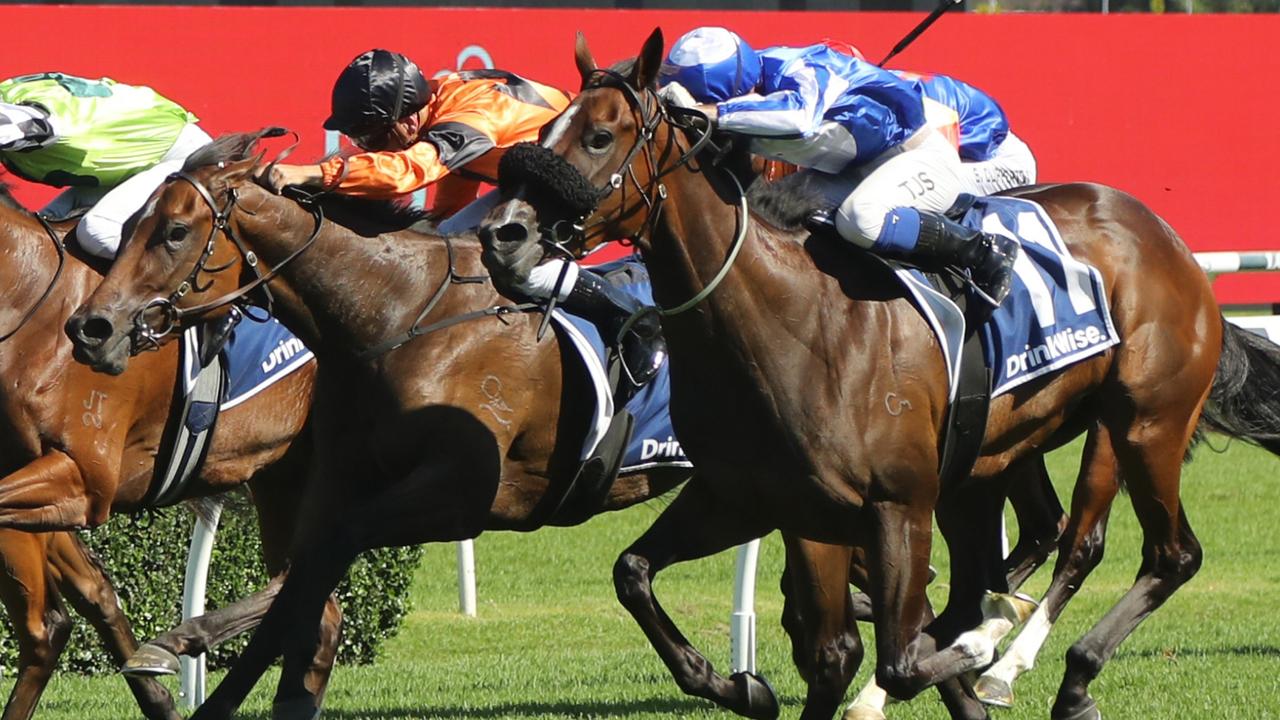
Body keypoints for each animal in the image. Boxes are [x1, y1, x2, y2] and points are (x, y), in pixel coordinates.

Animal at [0, 181, 335, 712]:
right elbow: (92, 591)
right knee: (318, 609)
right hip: (280, 476)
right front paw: (158, 699)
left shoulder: (82, 478)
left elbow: (45, 628)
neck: (27, 305)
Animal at [62, 131, 701, 712]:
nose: (91, 328)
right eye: (129, 226)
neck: (399, 316)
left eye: (175, 232)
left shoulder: (463, 495)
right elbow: (299, 587)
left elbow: (315, 572)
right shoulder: (335, 480)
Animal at [473, 30, 1280, 717]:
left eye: (599, 135)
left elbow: (895, 654)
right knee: (1041, 546)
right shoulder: (769, 501)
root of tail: (1160, 233)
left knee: (1156, 552)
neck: (788, 320)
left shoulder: (897, 503)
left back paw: (1031, 664)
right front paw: (741, 684)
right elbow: (653, 580)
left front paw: (970, 648)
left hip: (1143, 420)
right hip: (995, 461)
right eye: (542, 134)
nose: (501, 235)